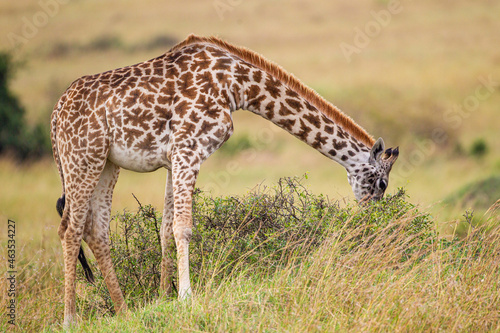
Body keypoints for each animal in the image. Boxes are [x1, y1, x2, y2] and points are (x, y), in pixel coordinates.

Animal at [50, 34, 398, 326]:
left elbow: (165, 229)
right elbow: (183, 227)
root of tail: (55, 117)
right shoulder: (189, 148)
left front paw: (162, 299)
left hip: (107, 164)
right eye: (381, 184)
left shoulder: (173, 157)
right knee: (70, 229)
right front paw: (186, 298)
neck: (237, 86)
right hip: (82, 157)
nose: (373, 220)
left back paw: (122, 312)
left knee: (96, 232)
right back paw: (70, 319)